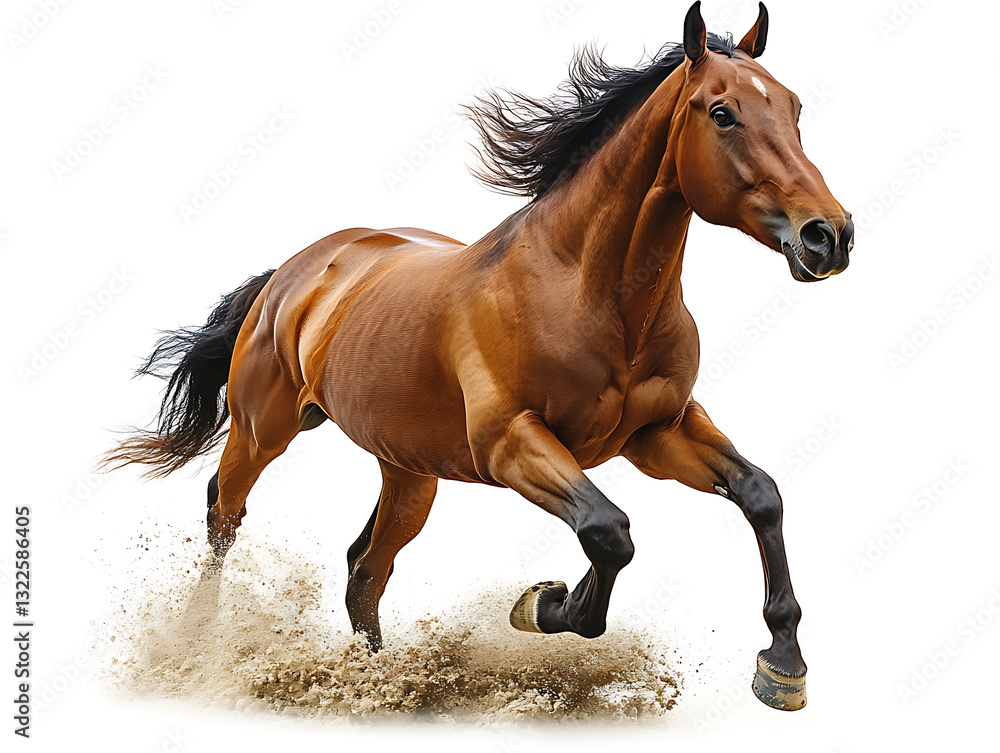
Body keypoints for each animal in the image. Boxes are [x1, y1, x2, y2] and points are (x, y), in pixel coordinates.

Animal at [106, 2, 852, 711]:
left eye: (793, 107)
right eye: (722, 113)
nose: (829, 235)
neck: (589, 292)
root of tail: (295, 271)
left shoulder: (657, 433)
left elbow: (760, 495)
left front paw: (782, 667)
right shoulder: (510, 443)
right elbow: (609, 530)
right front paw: (543, 603)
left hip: (410, 473)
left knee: (364, 568)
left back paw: (382, 683)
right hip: (264, 430)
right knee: (224, 519)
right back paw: (198, 651)